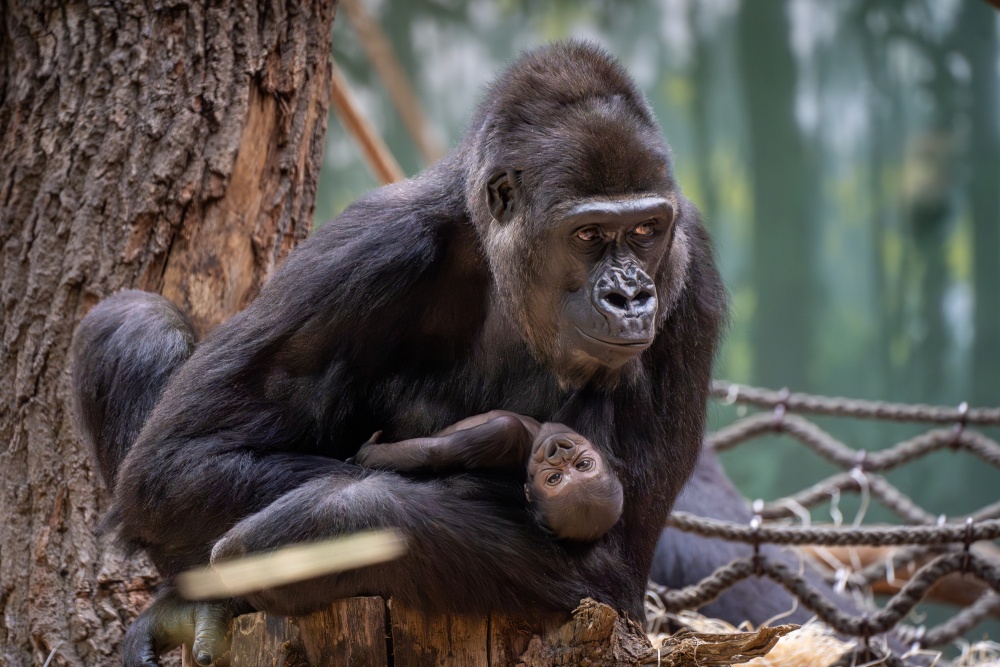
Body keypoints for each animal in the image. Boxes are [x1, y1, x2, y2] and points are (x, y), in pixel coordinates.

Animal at [356, 412, 620, 544]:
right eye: (583, 464)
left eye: (552, 479)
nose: (560, 451)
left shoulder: (505, 432)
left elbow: (436, 452)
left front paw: (368, 453)